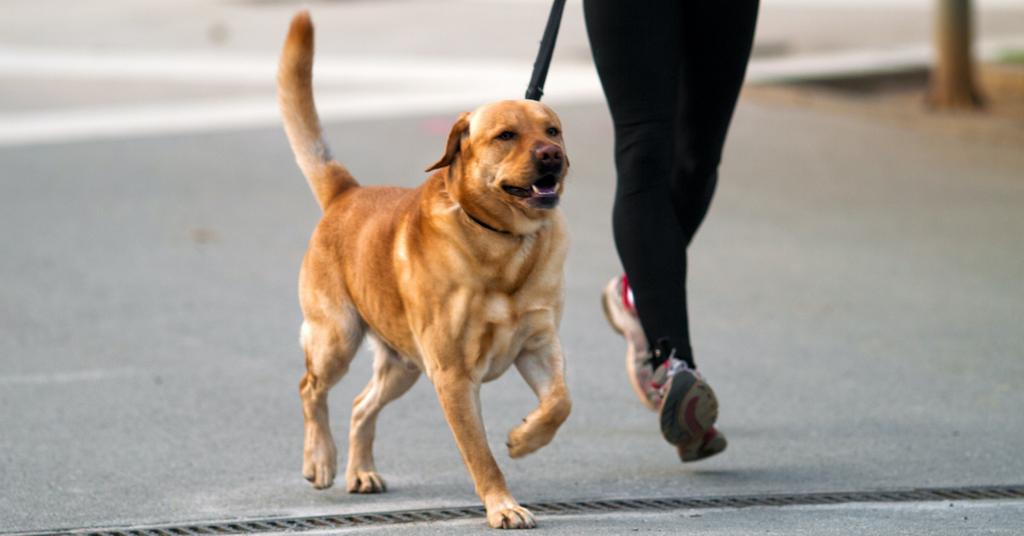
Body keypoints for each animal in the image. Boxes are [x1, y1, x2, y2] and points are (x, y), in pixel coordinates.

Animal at [276, 11, 573, 528]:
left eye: (551, 131)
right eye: (506, 135)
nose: (552, 156)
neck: (503, 245)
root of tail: (346, 192)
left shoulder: (538, 346)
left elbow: (560, 403)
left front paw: (524, 438)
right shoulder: (453, 376)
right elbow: (481, 456)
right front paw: (503, 506)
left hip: (404, 366)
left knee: (360, 405)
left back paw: (360, 471)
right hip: (337, 338)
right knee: (310, 388)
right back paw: (321, 460)